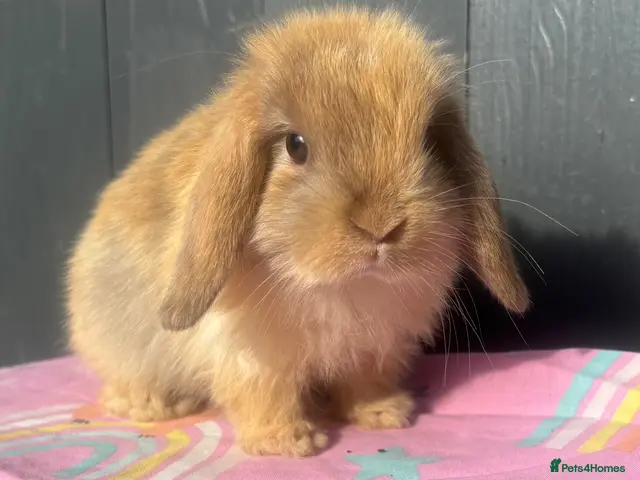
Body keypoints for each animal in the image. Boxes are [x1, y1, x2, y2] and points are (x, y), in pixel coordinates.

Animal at [65, 6, 529, 457]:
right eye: (295, 146)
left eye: (429, 143)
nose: (381, 225)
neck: (343, 287)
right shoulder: (252, 356)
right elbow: (265, 394)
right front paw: (288, 443)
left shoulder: (374, 348)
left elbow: (365, 382)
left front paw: (386, 414)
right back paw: (154, 405)